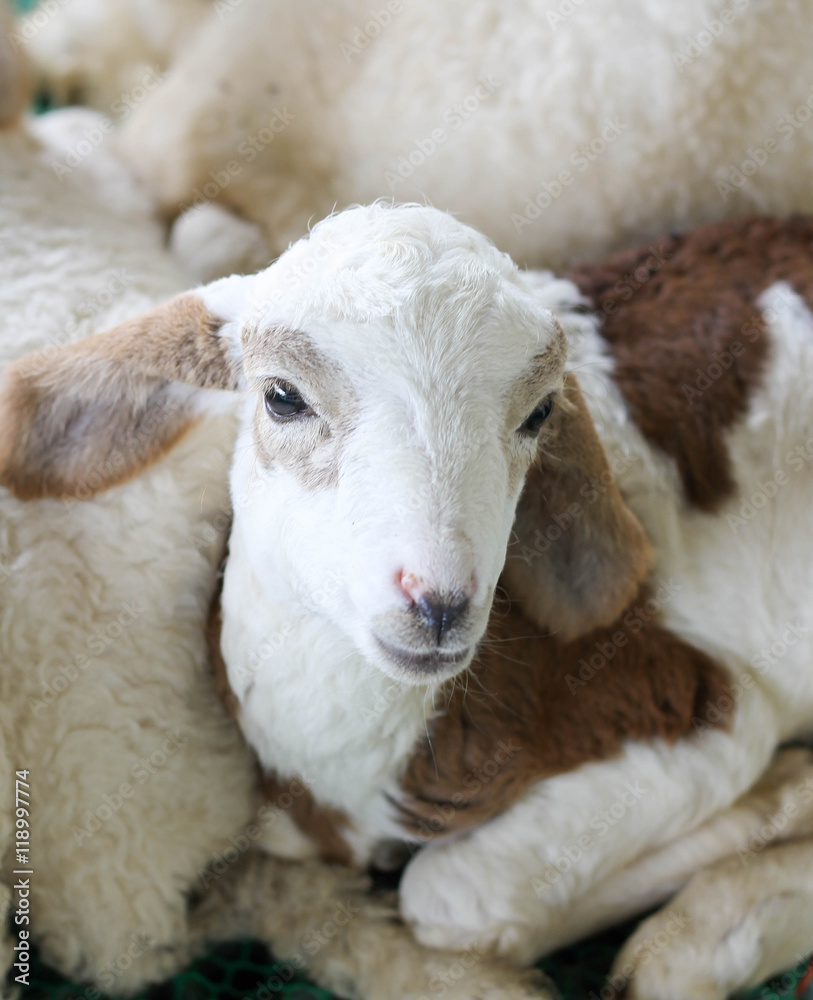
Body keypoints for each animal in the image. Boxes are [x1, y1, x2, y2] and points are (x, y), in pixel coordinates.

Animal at [5, 198, 813, 999]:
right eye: (281, 397)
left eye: (539, 414)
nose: (438, 604)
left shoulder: (696, 707)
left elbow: (444, 900)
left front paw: (780, 795)